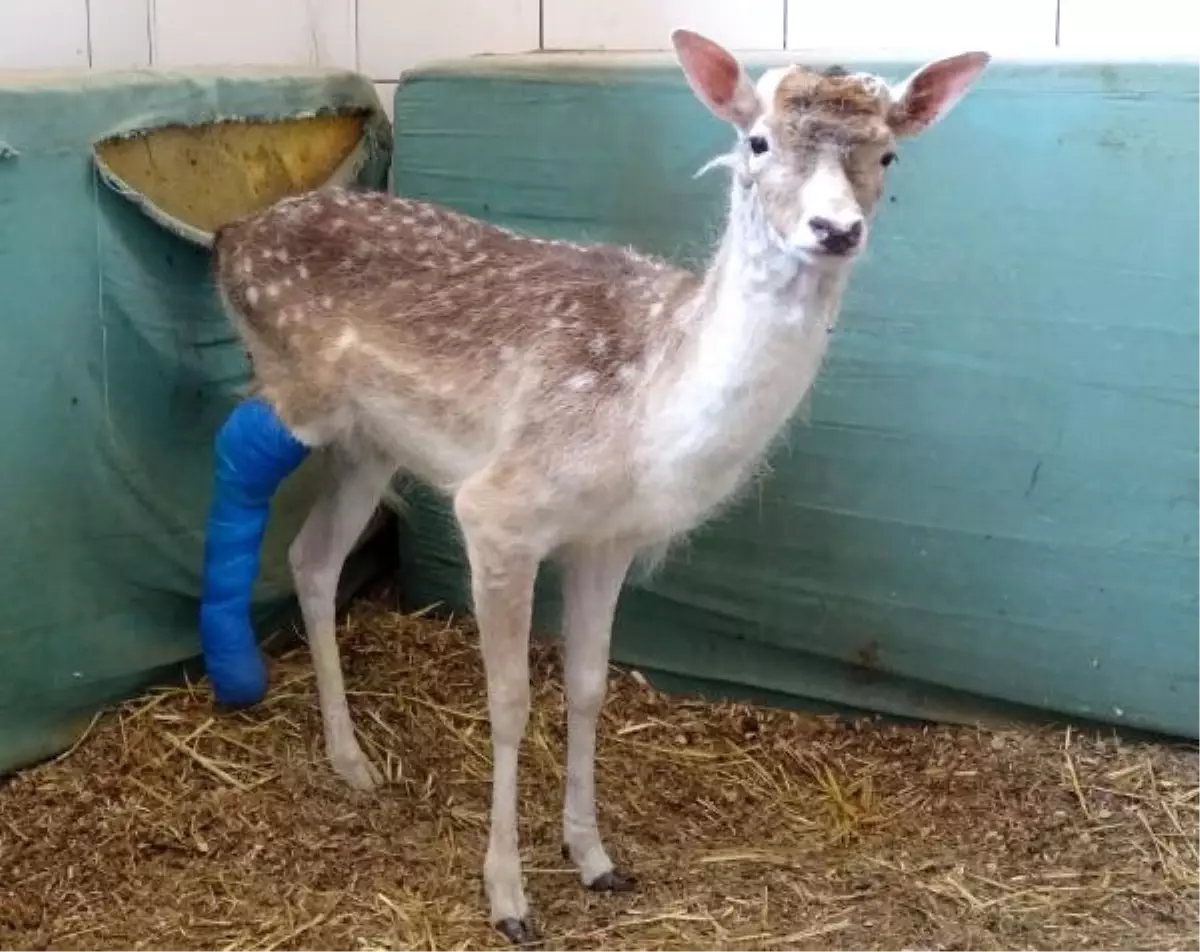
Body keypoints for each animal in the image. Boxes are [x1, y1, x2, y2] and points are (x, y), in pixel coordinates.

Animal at [206, 25, 988, 941]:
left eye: (889, 154)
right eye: (757, 142)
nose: (836, 228)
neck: (647, 417)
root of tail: (230, 234)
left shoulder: (608, 539)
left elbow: (588, 687)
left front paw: (595, 857)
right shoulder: (499, 511)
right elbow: (509, 699)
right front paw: (509, 898)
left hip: (372, 445)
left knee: (313, 556)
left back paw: (351, 760)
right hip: (307, 400)